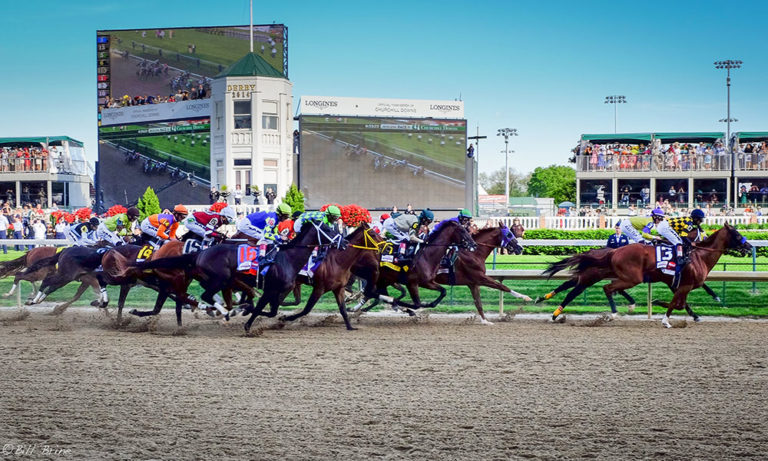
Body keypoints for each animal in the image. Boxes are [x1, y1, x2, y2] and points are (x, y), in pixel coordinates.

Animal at [544, 224, 752, 328]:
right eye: (736, 234)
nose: (749, 247)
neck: (698, 255)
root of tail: (614, 251)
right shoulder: (682, 285)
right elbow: (677, 304)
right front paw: (665, 319)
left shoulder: (677, 284)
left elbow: (681, 303)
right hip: (626, 277)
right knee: (600, 288)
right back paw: (612, 313)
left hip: (609, 275)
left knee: (576, 286)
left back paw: (550, 304)